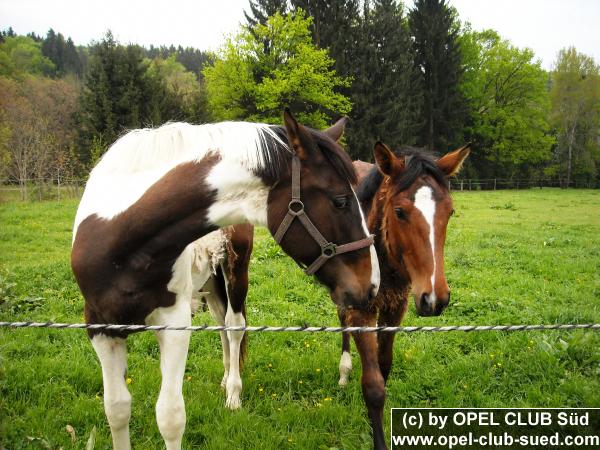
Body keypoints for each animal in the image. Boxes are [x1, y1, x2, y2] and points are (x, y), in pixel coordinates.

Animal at [71, 110, 380, 450]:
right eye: (340, 201)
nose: (372, 285)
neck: (121, 240)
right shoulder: (100, 327)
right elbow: (116, 409)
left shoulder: (174, 323)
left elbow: (170, 417)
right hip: (210, 282)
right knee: (221, 323)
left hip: (234, 272)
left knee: (233, 326)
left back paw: (233, 392)